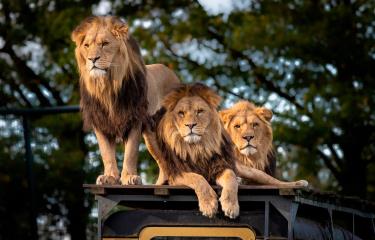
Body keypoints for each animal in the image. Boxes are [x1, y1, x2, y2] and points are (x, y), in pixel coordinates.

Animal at [72, 15, 181, 186]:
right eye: (86, 45)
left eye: (105, 44)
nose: (92, 59)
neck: (107, 87)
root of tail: (171, 72)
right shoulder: (100, 122)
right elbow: (106, 153)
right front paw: (109, 177)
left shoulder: (134, 119)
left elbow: (130, 152)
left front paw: (129, 177)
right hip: (151, 136)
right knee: (164, 162)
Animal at [144, 83, 308, 219]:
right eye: (181, 113)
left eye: (200, 111)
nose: (190, 125)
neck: (198, 147)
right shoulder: (176, 174)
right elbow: (198, 179)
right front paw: (209, 205)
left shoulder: (221, 167)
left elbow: (230, 178)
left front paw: (230, 206)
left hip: (248, 171)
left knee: (270, 180)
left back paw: (298, 183)